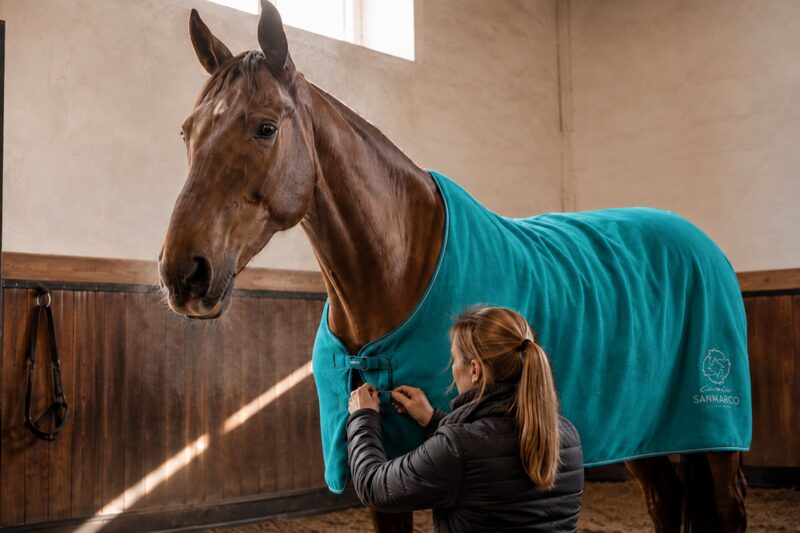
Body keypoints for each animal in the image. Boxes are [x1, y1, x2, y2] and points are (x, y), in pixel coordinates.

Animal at [157, 3, 749, 532]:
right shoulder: (382, 479)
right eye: (186, 132)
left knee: (725, 507)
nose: (182, 274)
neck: (397, 272)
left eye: (264, 128)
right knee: (665, 501)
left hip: (716, 434)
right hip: (644, 431)